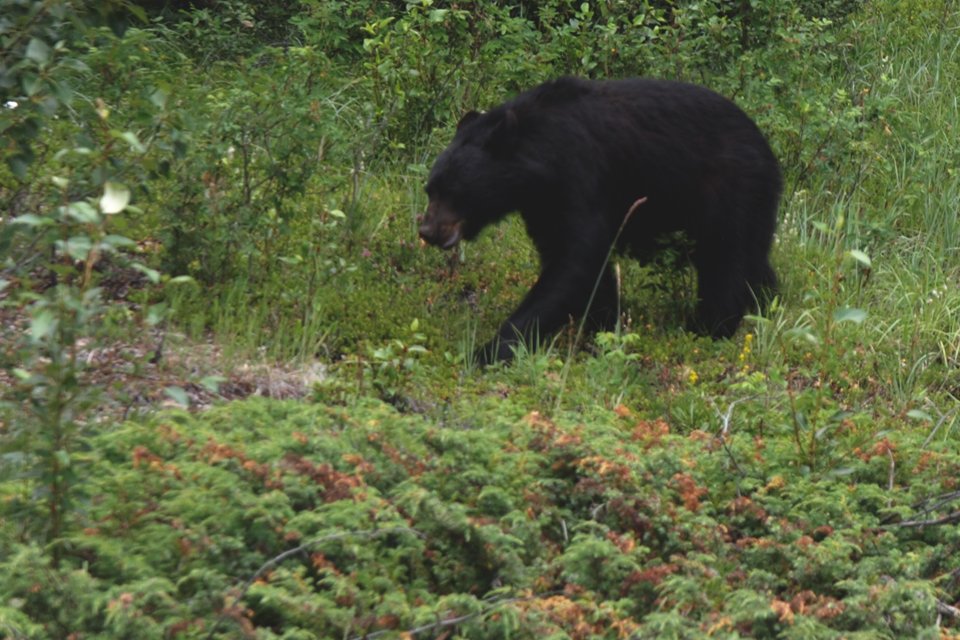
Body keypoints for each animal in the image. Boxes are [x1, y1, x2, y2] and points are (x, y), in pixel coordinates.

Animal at [420, 77, 780, 362]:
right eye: (430, 188)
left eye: (453, 191)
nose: (427, 230)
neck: (540, 162)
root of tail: (768, 150)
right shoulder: (542, 205)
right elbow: (580, 264)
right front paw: (602, 328)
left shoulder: (581, 175)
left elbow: (576, 259)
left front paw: (489, 351)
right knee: (753, 260)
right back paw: (765, 305)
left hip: (730, 191)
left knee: (726, 261)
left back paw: (709, 329)